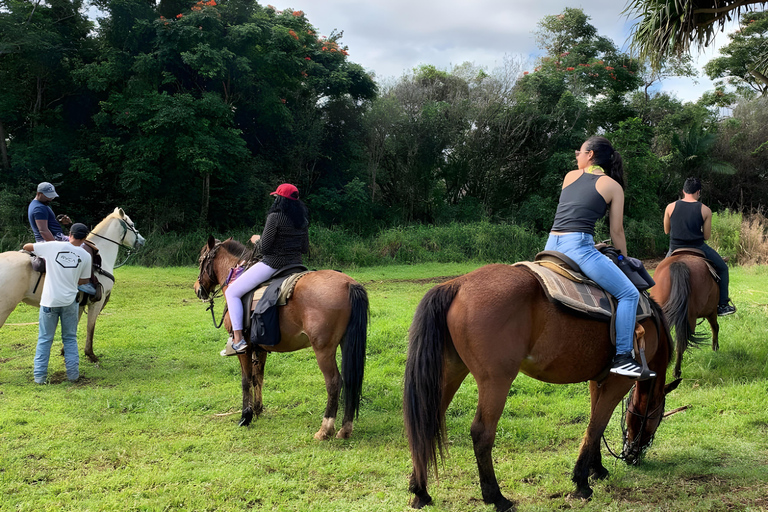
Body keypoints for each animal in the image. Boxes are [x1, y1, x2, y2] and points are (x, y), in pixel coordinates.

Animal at [195, 236, 368, 440]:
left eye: (200, 260)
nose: (197, 288)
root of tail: (349, 284)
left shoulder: (245, 350)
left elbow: (246, 380)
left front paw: (246, 416)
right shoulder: (260, 347)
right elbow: (258, 377)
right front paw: (258, 409)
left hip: (323, 349)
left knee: (334, 382)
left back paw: (325, 429)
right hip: (347, 343)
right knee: (350, 381)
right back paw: (345, 429)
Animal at [402, 264, 680, 512]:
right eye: (656, 418)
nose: (633, 455)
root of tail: (457, 284)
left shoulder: (598, 380)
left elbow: (595, 424)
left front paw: (597, 469)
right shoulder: (618, 382)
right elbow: (596, 425)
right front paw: (581, 483)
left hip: (451, 373)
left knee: (426, 424)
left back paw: (421, 492)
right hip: (496, 381)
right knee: (482, 433)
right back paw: (496, 498)